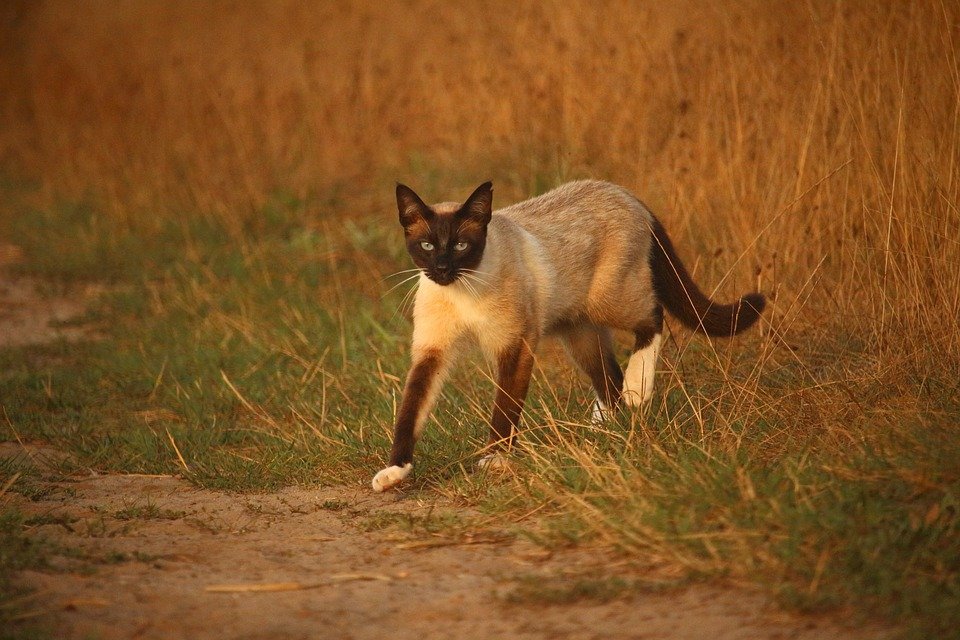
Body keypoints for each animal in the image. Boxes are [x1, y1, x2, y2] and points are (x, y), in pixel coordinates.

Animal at [370, 182, 764, 492]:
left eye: (461, 246)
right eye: (427, 246)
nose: (441, 269)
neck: (462, 289)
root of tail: (627, 194)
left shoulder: (515, 347)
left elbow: (504, 411)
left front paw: (495, 460)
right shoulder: (432, 353)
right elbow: (410, 413)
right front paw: (395, 472)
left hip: (607, 301)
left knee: (653, 319)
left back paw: (637, 391)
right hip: (580, 334)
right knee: (610, 378)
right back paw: (602, 427)